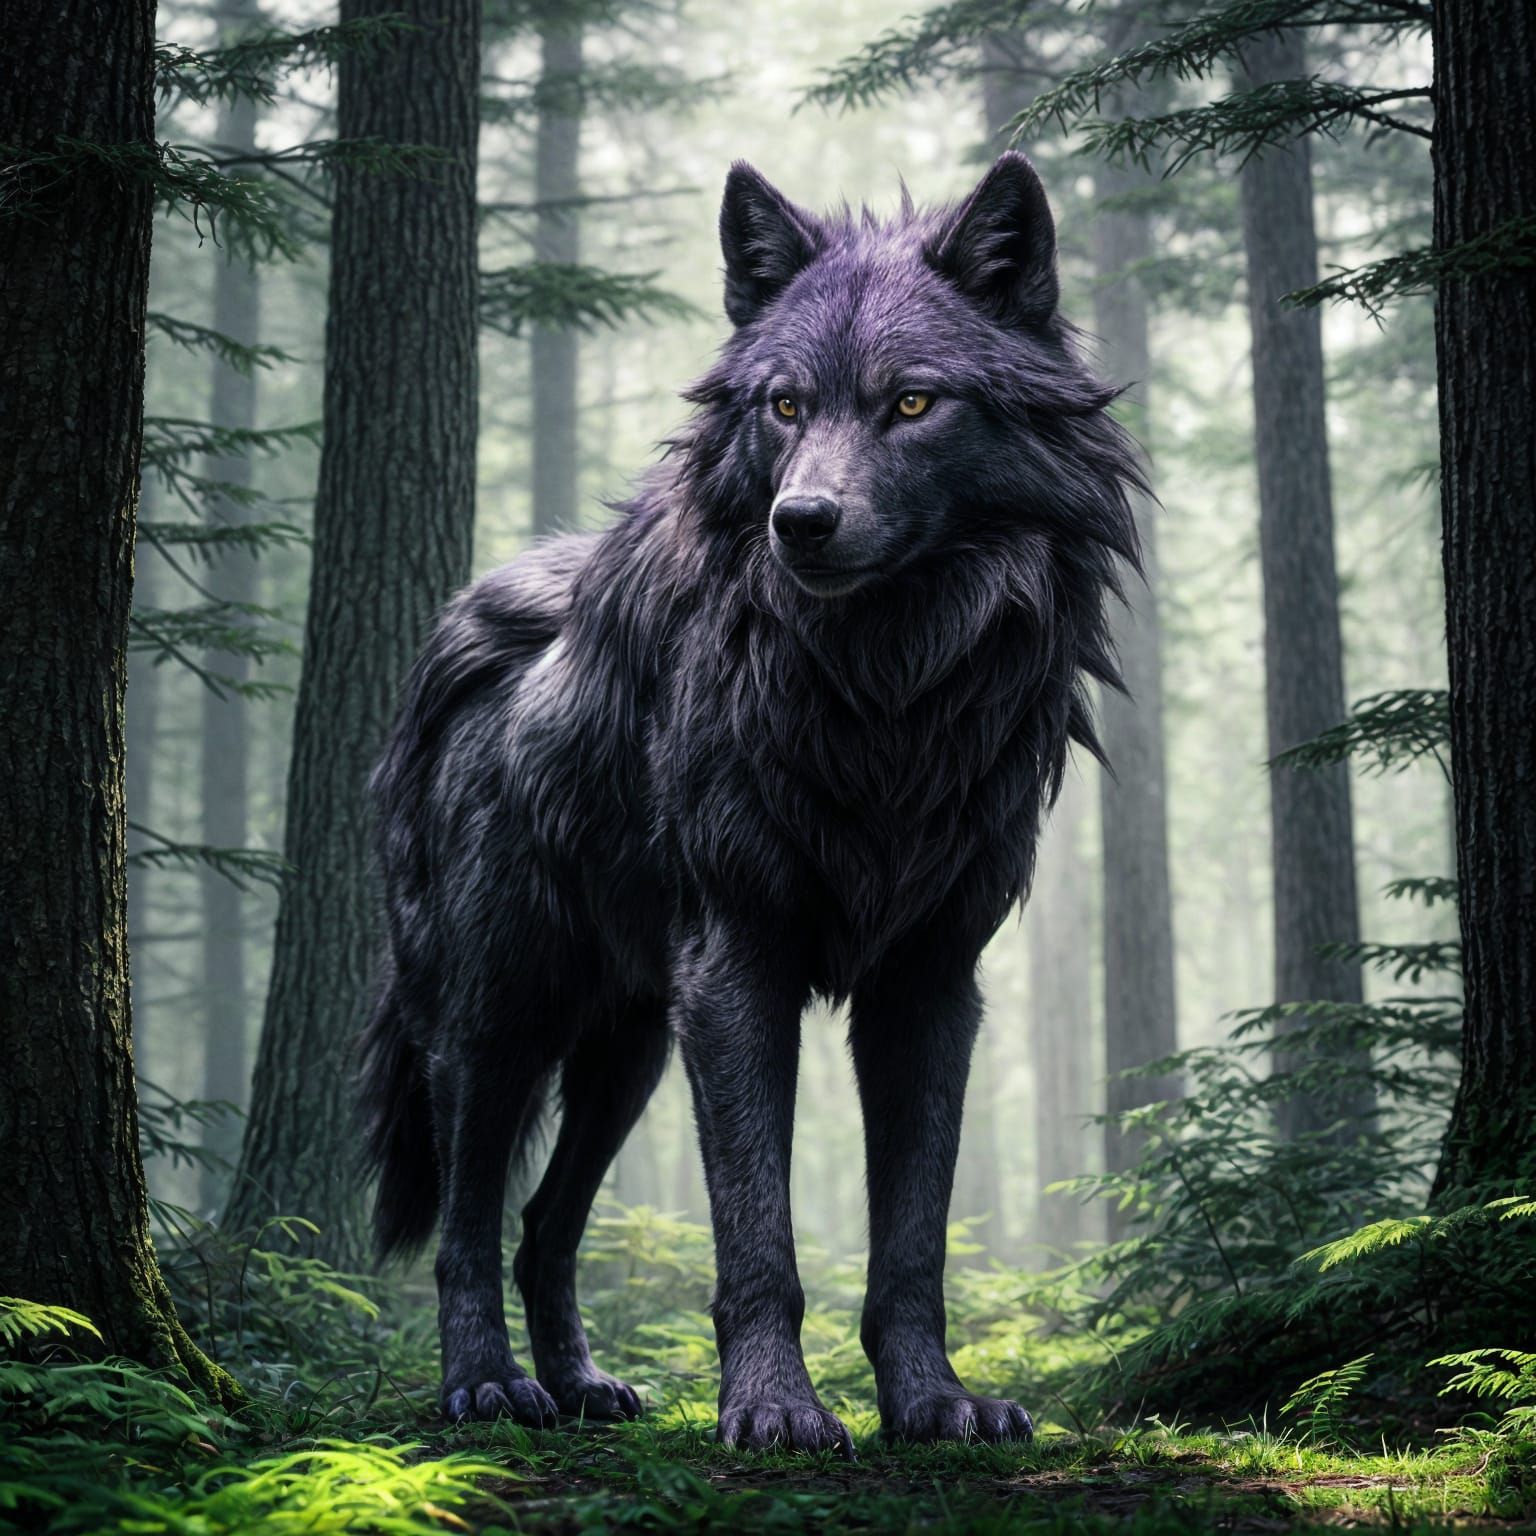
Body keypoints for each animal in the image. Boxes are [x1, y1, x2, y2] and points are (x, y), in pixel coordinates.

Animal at [360, 151, 1141, 1454]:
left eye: (913, 404)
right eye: (783, 407)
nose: (802, 522)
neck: (882, 697)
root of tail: (464, 626)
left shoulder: (932, 982)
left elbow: (913, 1240)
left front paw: (932, 1402)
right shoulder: (738, 964)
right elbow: (756, 1234)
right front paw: (774, 1408)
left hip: (625, 1056)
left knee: (544, 1229)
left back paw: (582, 1385)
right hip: (500, 1019)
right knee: (469, 1227)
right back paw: (487, 1388)